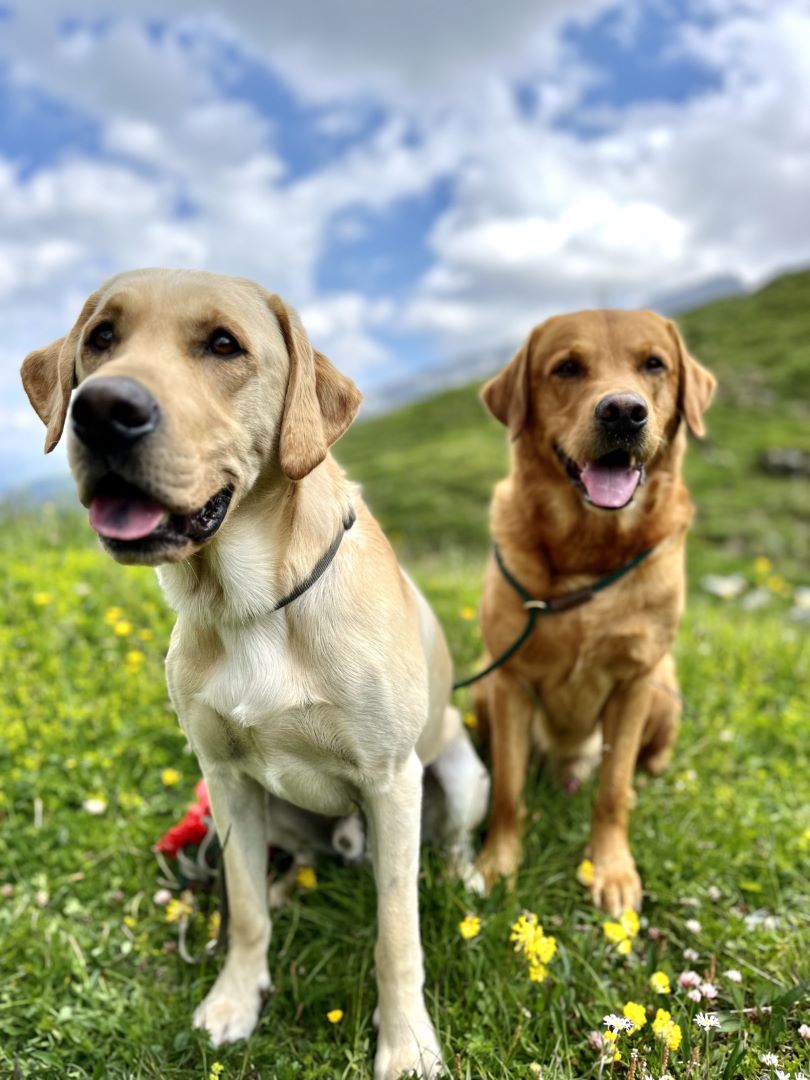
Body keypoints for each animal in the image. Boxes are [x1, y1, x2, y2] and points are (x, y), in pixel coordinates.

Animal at [21, 268, 490, 1080]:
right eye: (101, 337)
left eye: (223, 345)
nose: (102, 411)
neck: (253, 605)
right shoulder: (227, 779)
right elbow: (243, 911)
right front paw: (236, 1000)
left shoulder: (391, 781)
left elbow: (396, 936)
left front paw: (406, 1043)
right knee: (285, 874)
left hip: (460, 773)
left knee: (451, 844)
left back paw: (465, 878)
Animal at [474, 309, 715, 916]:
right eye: (567, 368)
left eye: (654, 364)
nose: (624, 411)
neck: (589, 554)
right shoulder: (510, 680)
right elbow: (507, 789)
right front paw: (496, 863)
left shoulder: (633, 681)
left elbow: (611, 792)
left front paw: (611, 871)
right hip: (484, 685)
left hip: (664, 685)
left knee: (638, 765)